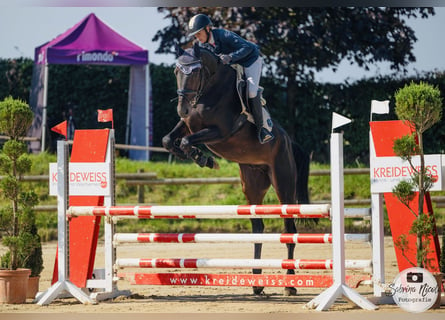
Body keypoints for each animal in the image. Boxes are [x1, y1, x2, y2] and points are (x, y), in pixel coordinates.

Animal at [162, 43, 308, 296]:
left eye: (196, 72)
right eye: (176, 72)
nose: (182, 109)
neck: (209, 90)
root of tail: (289, 141)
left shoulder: (220, 132)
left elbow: (186, 141)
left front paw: (204, 158)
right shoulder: (188, 124)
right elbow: (169, 140)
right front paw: (199, 158)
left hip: (283, 183)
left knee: (289, 229)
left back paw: (289, 284)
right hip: (252, 184)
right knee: (258, 227)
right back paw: (257, 282)